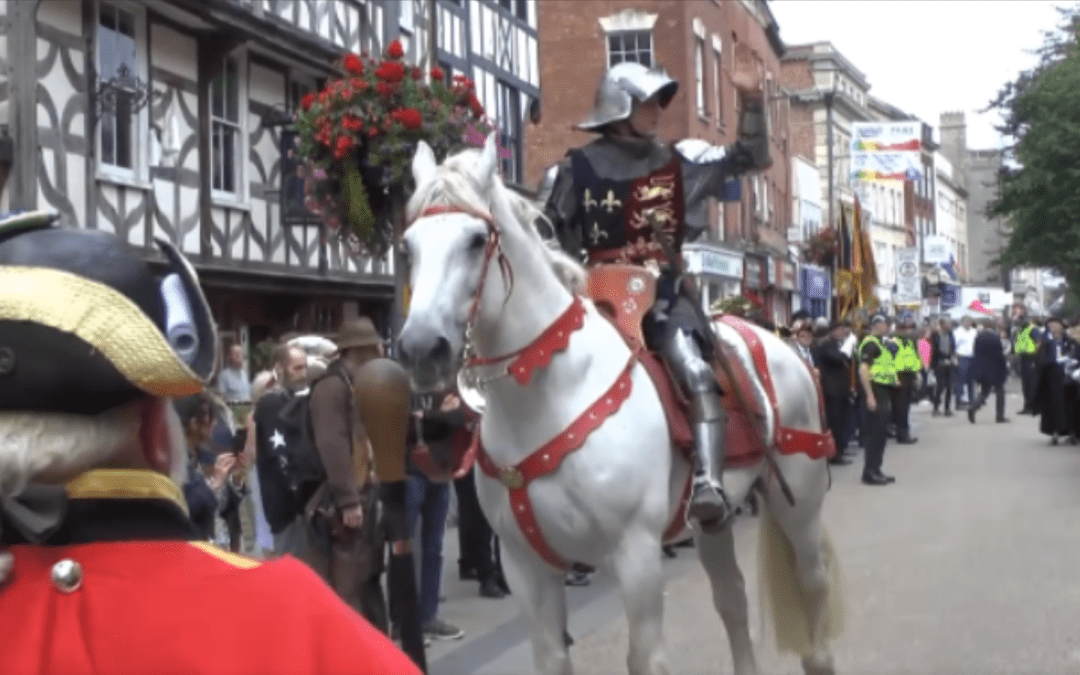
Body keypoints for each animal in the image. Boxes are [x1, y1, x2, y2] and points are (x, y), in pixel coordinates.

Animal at [397, 132, 842, 673]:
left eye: (476, 240)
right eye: (408, 245)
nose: (421, 348)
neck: (547, 394)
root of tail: (784, 347)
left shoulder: (636, 554)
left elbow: (645, 658)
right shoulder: (527, 568)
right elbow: (551, 658)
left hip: (799, 499)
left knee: (812, 584)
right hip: (713, 522)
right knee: (733, 600)